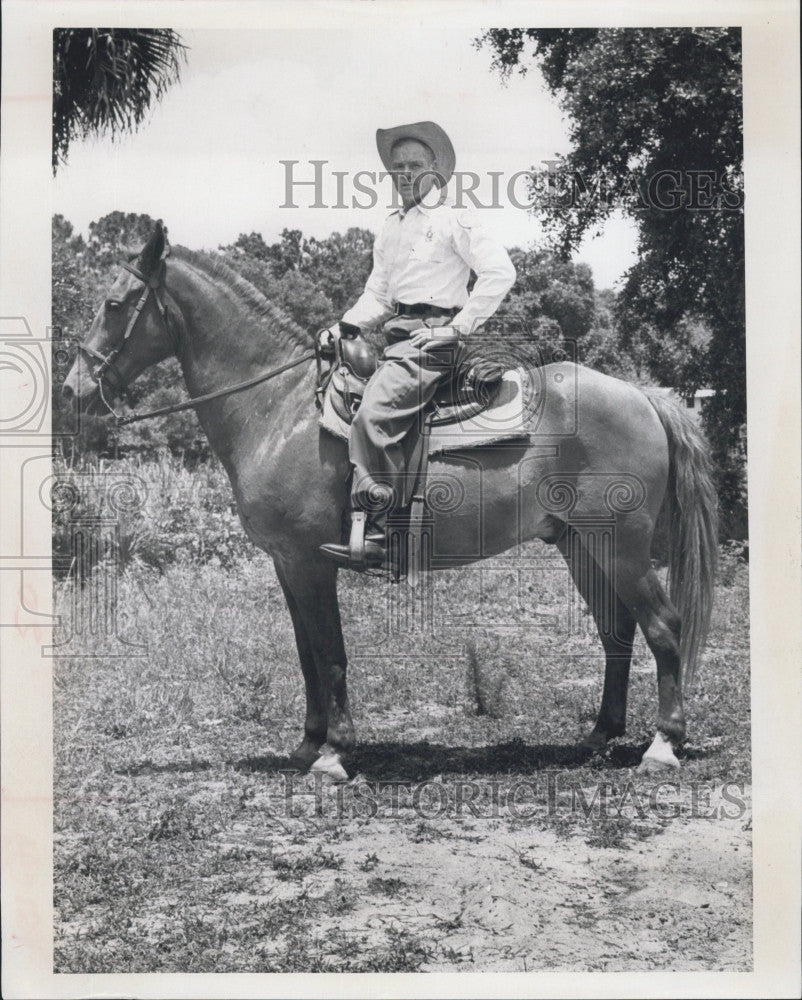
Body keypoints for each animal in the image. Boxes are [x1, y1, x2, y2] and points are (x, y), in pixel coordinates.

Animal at [61, 225, 712, 780]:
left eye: (114, 304)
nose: (73, 390)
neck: (280, 410)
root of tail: (645, 396)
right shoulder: (289, 565)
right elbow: (307, 654)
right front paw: (309, 743)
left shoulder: (311, 561)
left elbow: (331, 654)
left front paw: (335, 753)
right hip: (580, 544)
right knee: (616, 629)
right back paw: (600, 735)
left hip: (622, 545)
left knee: (663, 626)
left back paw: (662, 745)